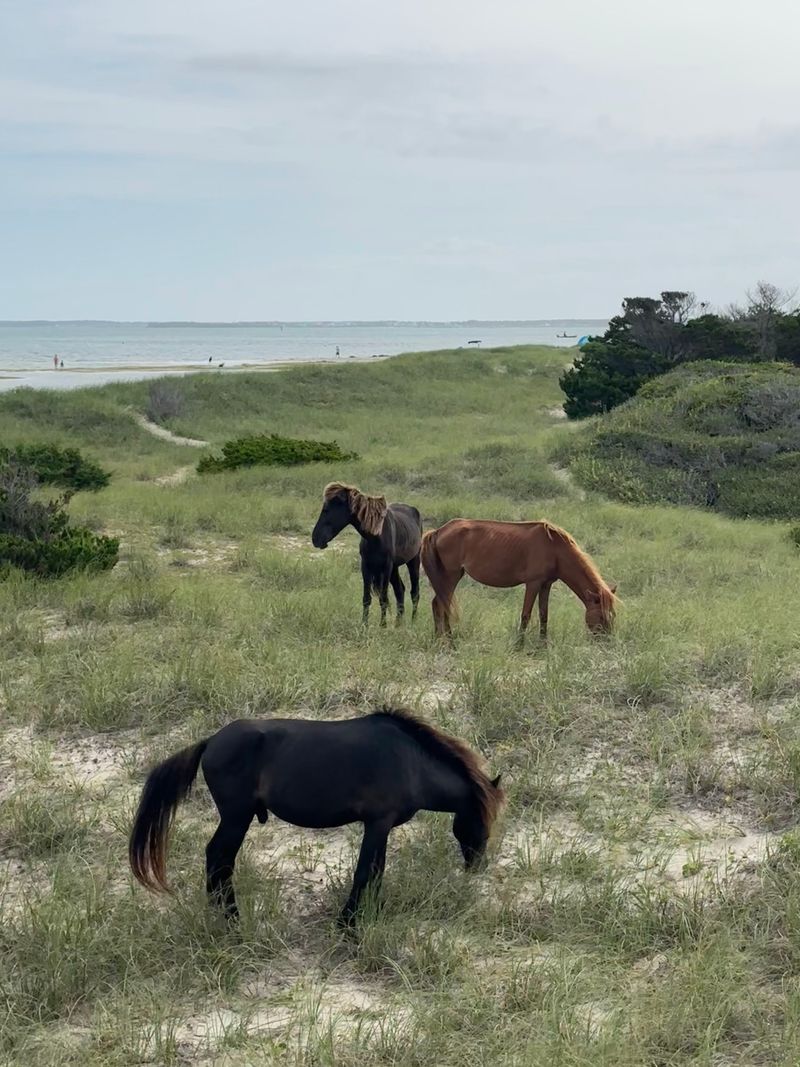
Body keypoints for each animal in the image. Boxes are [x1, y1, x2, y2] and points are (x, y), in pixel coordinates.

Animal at [129, 707, 504, 928]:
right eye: (483, 822)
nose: (477, 866)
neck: (410, 761)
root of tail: (211, 742)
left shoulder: (382, 828)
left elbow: (376, 872)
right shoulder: (378, 824)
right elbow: (366, 871)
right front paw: (348, 923)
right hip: (236, 818)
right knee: (218, 858)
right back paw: (230, 919)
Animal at [311, 482, 422, 625]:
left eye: (326, 510)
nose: (315, 539)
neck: (376, 535)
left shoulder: (386, 567)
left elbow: (383, 598)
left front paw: (383, 625)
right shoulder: (366, 566)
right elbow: (366, 598)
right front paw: (364, 624)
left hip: (413, 561)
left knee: (414, 592)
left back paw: (413, 621)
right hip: (395, 568)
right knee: (400, 590)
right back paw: (398, 623)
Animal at [421, 519, 617, 642]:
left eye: (612, 615)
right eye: (601, 615)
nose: (607, 641)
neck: (555, 548)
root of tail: (437, 531)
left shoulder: (546, 585)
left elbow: (544, 614)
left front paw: (542, 644)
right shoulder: (533, 583)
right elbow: (526, 615)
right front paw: (519, 644)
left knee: (439, 604)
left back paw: (439, 638)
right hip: (451, 576)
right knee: (442, 604)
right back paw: (449, 640)